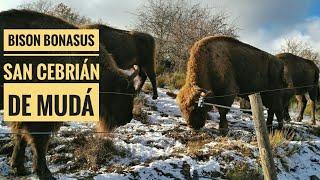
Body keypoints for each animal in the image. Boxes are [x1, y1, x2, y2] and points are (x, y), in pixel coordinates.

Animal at [0, 10, 139, 180]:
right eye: (124, 93)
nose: (128, 118)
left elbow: (21, 137)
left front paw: (19, 167)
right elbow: (40, 142)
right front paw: (46, 174)